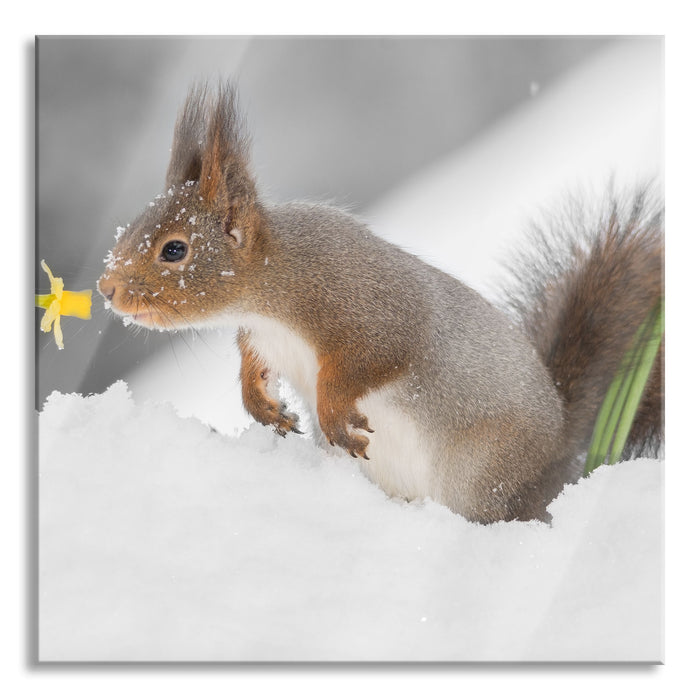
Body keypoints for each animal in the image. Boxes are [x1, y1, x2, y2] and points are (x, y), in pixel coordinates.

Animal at [97, 83, 663, 524]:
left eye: (175, 249)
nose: (106, 289)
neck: (270, 289)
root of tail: (563, 455)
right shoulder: (262, 339)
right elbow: (253, 369)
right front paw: (264, 408)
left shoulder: (371, 309)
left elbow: (372, 359)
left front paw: (331, 412)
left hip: (485, 478)